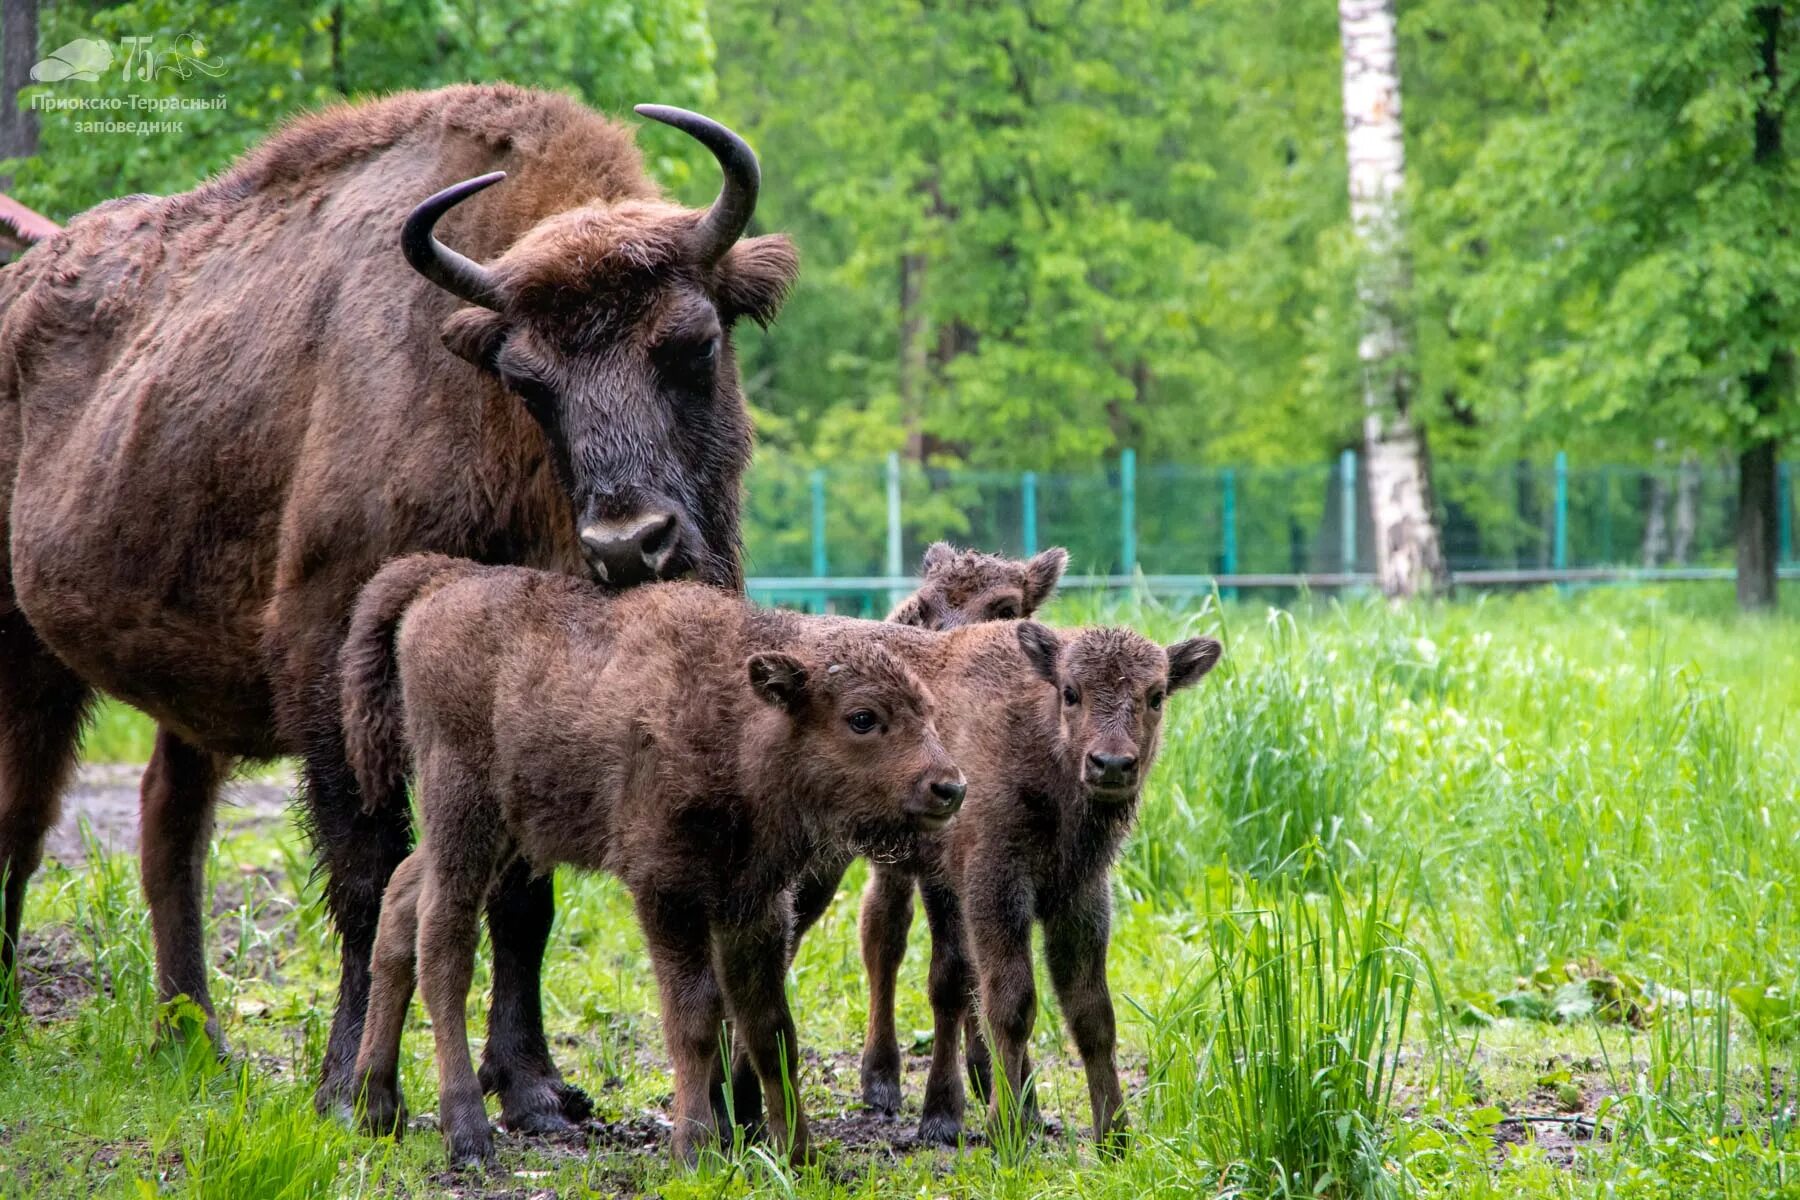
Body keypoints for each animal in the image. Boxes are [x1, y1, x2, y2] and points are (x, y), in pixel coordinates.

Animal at [0, 86, 795, 1129]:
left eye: (694, 343)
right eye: (527, 380)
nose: (631, 544)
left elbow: (523, 898)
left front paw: (534, 1087)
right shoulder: (335, 680)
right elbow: (368, 878)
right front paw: (347, 1087)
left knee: (168, 825)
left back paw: (197, 1042)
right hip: (22, 651)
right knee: (23, 821)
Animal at [343, 557, 979, 1165]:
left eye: (927, 709)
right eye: (863, 717)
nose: (949, 787)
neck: (737, 717)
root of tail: (446, 581)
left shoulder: (755, 905)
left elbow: (771, 1026)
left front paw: (800, 1154)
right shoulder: (667, 892)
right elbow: (696, 1017)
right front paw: (695, 1148)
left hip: (504, 834)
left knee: (400, 904)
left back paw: (375, 1106)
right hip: (462, 815)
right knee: (443, 947)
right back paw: (467, 1135)